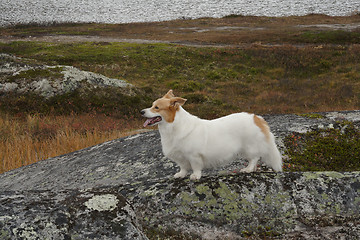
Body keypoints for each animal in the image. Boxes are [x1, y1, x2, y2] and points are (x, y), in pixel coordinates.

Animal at [141, 90, 282, 180]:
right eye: (152, 105)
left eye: (157, 107)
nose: (141, 111)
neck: (173, 126)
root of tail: (257, 118)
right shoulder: (180, 158)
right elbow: (183, 168)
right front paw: (180, 175)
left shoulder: (194, 156)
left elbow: (195, 167)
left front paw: (195, 176)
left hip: (249, 147)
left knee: (254, 158)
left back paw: (248, 169)